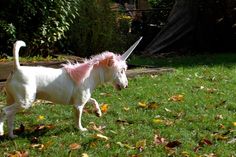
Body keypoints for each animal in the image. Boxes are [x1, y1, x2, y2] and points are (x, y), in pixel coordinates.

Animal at [0, 37, 142, 137]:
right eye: (122, 71)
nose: (126, 85)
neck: (89, 74)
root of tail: (17, 69)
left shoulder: (83, 99)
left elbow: (93, 100)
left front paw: (98, 112)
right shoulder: (78, 105)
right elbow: (78, 118)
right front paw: (81, 129)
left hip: (13, 99)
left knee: (10, 116)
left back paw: (11, 135)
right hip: (25, 101)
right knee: (5, 111)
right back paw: (1, 131)